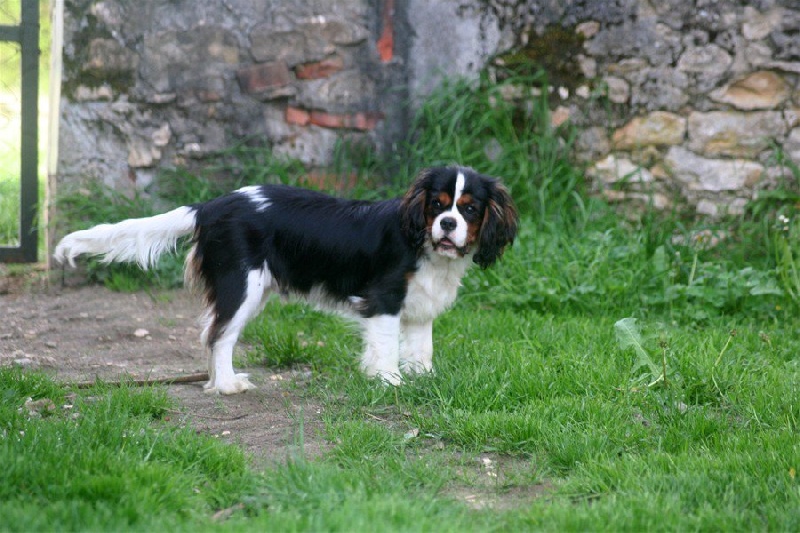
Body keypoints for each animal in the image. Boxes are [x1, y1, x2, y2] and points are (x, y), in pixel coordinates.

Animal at [56, 166, 520, 394]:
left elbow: (422, 348)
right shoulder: (384, 300)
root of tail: (209, 206)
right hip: (242, 286)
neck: (424, 244)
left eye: (470, 209)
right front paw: (389, 382)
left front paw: (423, 379)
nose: (447, 224)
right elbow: (386, 348)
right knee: (219, 334)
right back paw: (225, 386)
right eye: (437, 205)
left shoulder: (420, 308)